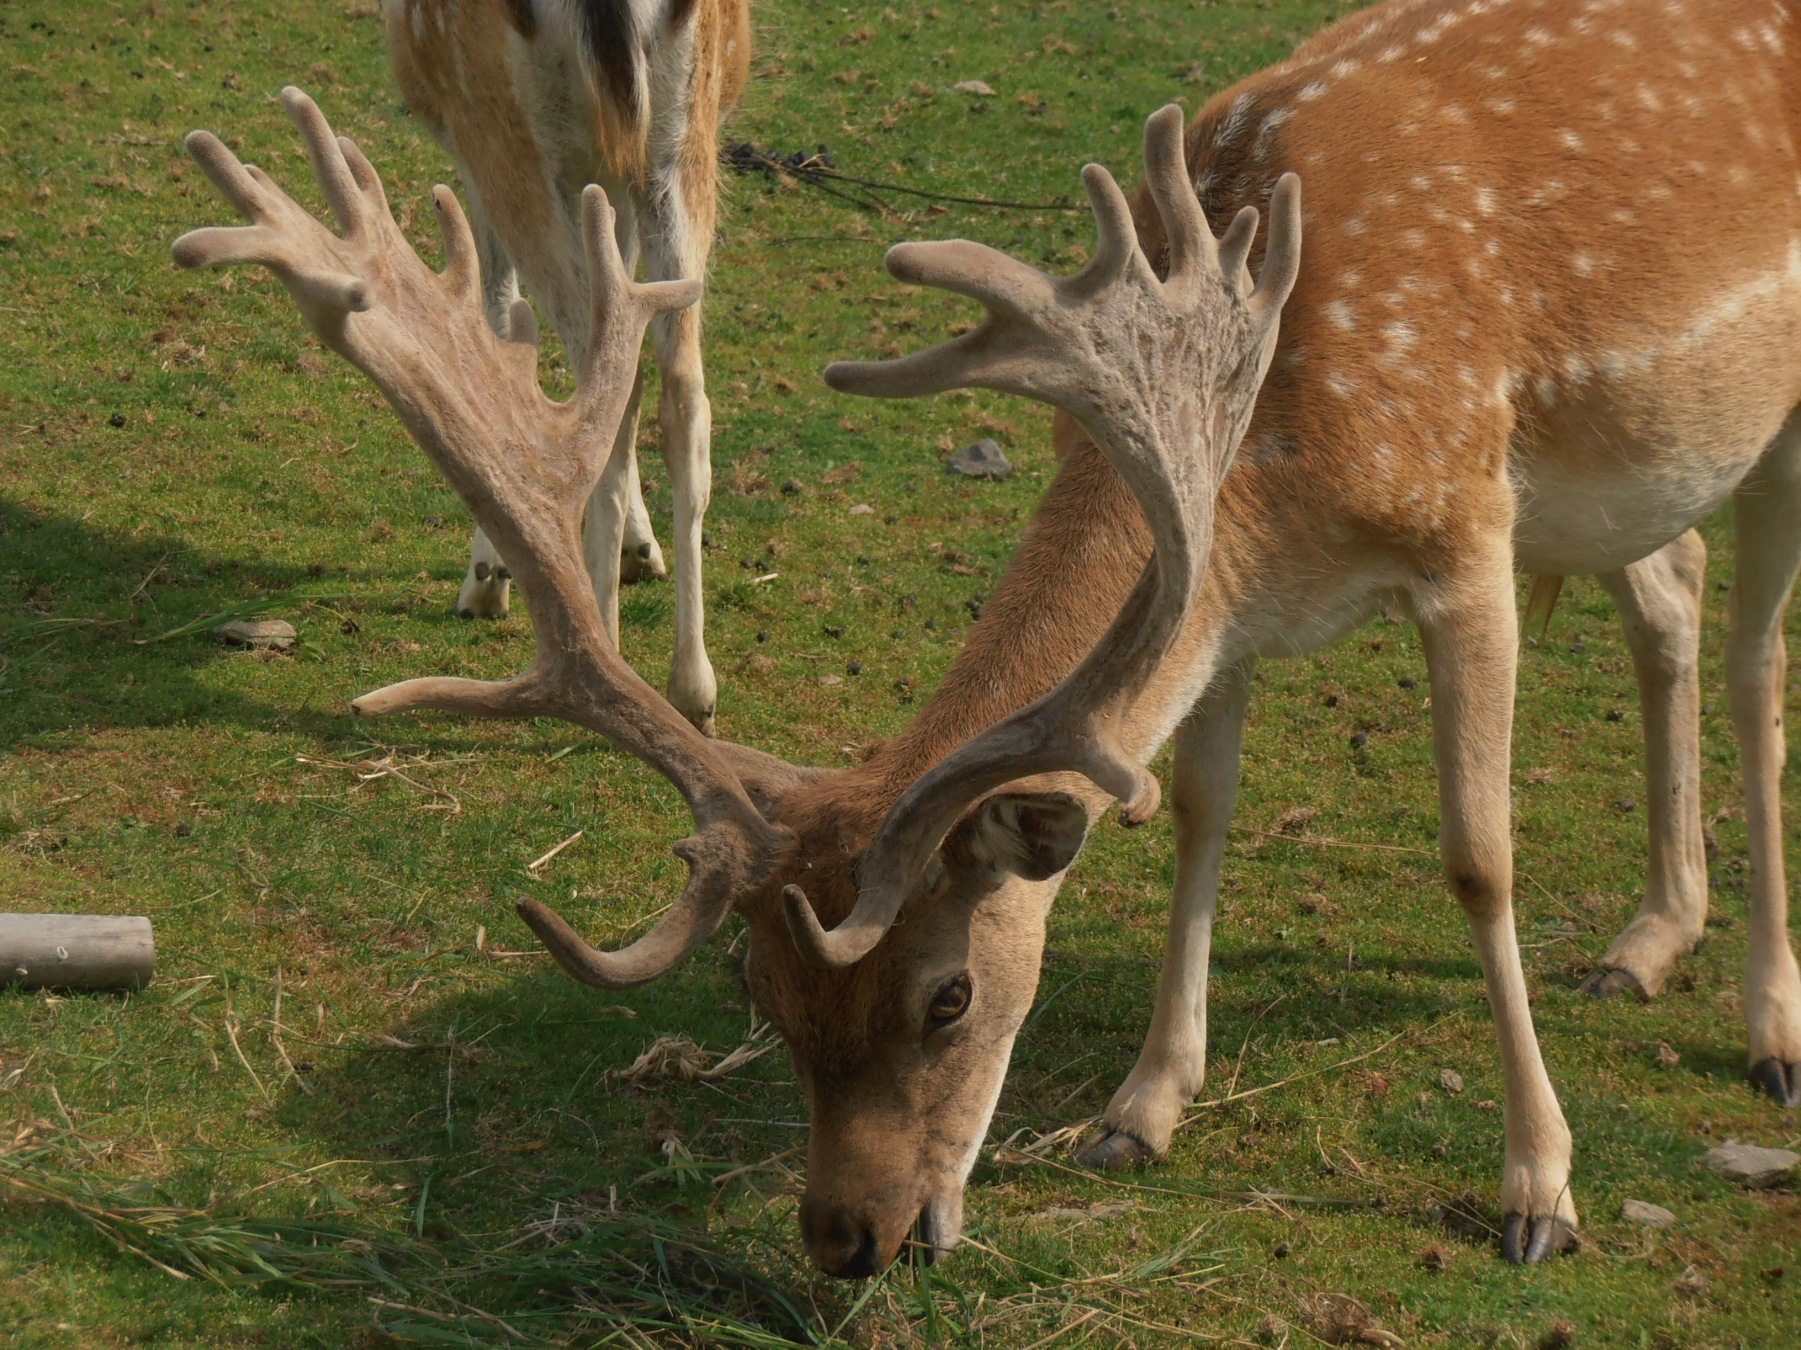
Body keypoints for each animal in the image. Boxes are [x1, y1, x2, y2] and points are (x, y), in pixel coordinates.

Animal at [383, 0, 751, 735]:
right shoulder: (613, 167)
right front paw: (642, 550)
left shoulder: (472, 148)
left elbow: (496, 310)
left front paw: (484, 577)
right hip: (679, 148)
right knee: (679, 388)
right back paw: (694, 687)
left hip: (508, 139)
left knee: (600, 372)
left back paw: (604, 643)